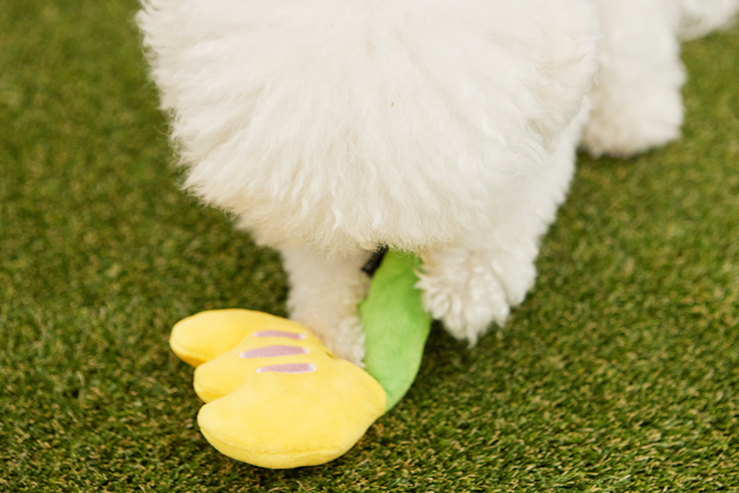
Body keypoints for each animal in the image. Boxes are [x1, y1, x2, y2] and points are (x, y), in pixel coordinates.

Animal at [136, 0, 736, 366]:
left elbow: (518, 203)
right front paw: (325, 331)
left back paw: (634, 120)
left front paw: (467, 286)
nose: (374, 258)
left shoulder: (537, 121)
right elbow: (314, 263)